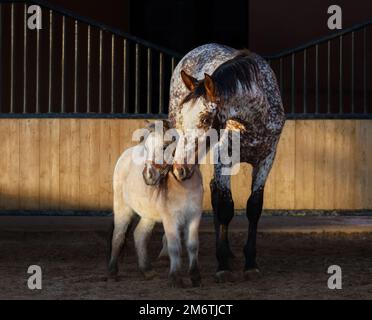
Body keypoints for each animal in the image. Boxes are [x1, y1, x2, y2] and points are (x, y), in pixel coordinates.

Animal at [107, 120, 203, 288]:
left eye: (165, 146)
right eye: (146, 148)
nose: (148, 176)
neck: (184, 186)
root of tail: (125, 155)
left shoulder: (194, 216)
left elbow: (192, 245)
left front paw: (195, 276)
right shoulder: (170, 219)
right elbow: (174, 247)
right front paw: (176, 278)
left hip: (148, 215)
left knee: (139, 235)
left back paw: (147, 271)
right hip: (122, 208)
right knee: (118, 236)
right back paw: (112, 272)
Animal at [167, 43, 286, 282]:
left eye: (204, 118)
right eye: (184, 115)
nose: (179, 168)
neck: (254, 117)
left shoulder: (266, 159)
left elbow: (253, 207)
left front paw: (250, 263)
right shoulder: (223, 158)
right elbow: (225, 207)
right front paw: (222, 266)